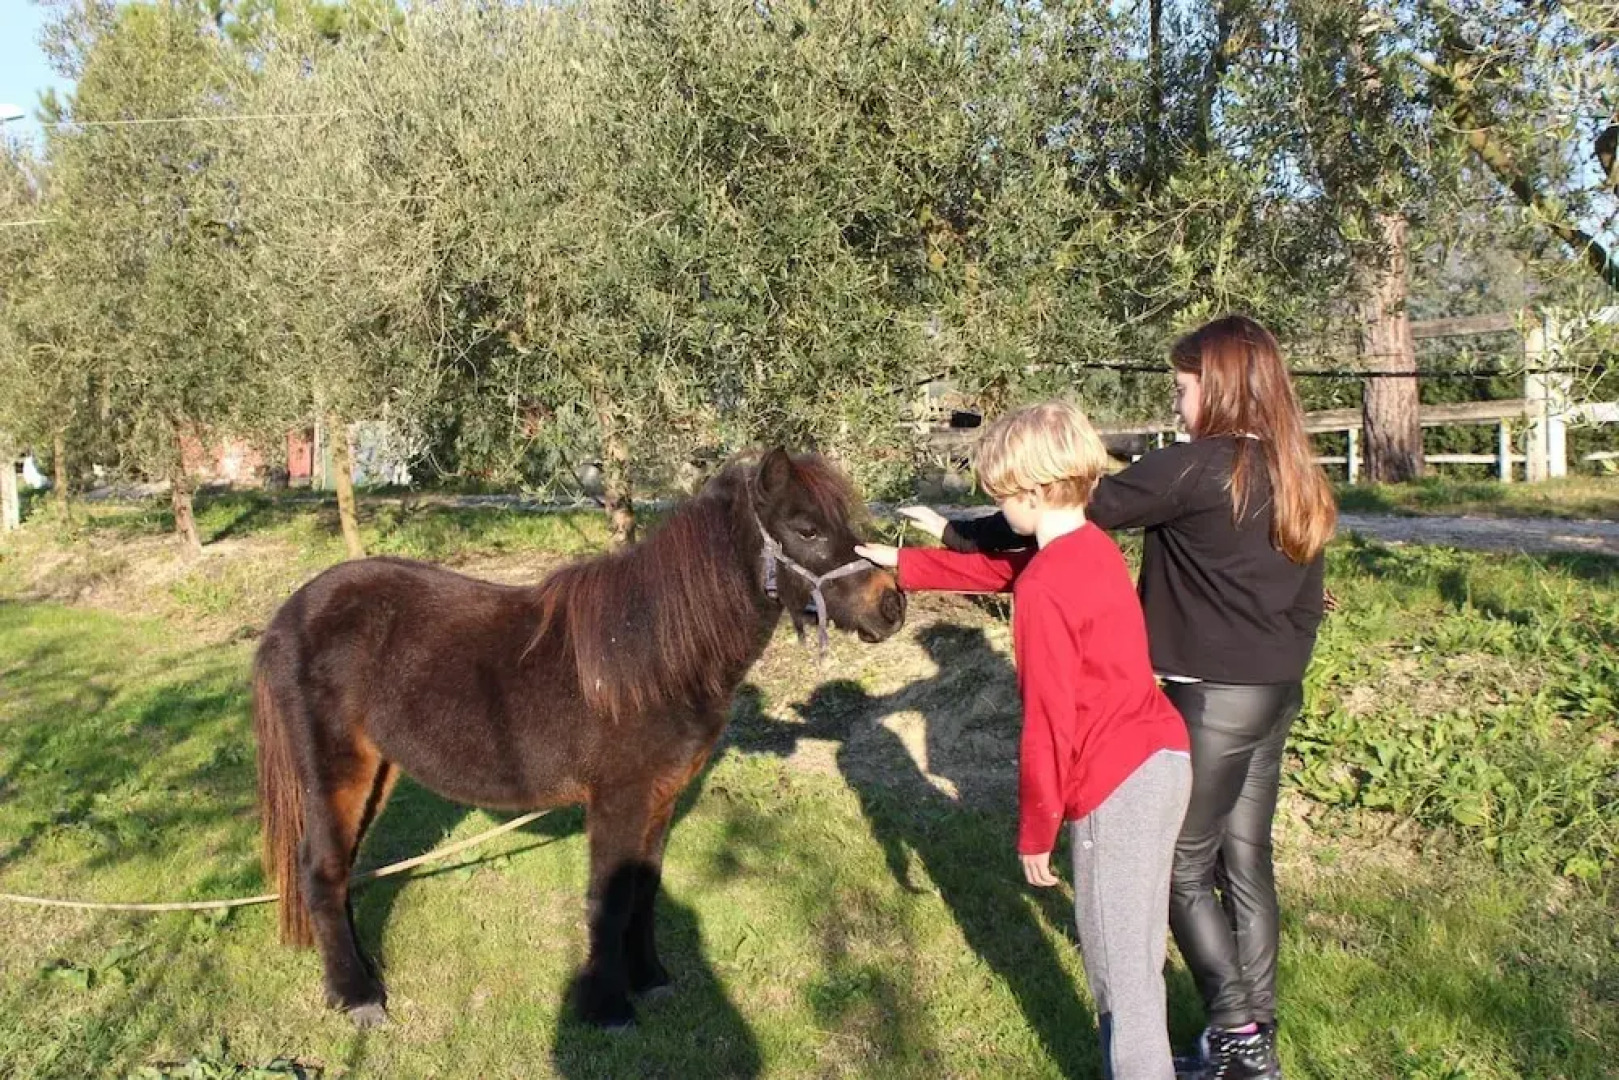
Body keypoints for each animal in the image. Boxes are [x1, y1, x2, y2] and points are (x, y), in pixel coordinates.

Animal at [252, 448, 906, 1028]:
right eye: (806, 528)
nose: (892, 606)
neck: (655, 654)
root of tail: (288, 617)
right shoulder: (619, 799)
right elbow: (608, 902)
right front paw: (608, 1007)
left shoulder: (660, 798)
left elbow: (643, 891)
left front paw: (651, 979)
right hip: (336, 772)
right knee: (322, 871)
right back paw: (358, 996)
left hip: (378, 772)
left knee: (342, 869)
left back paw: (358, 976)